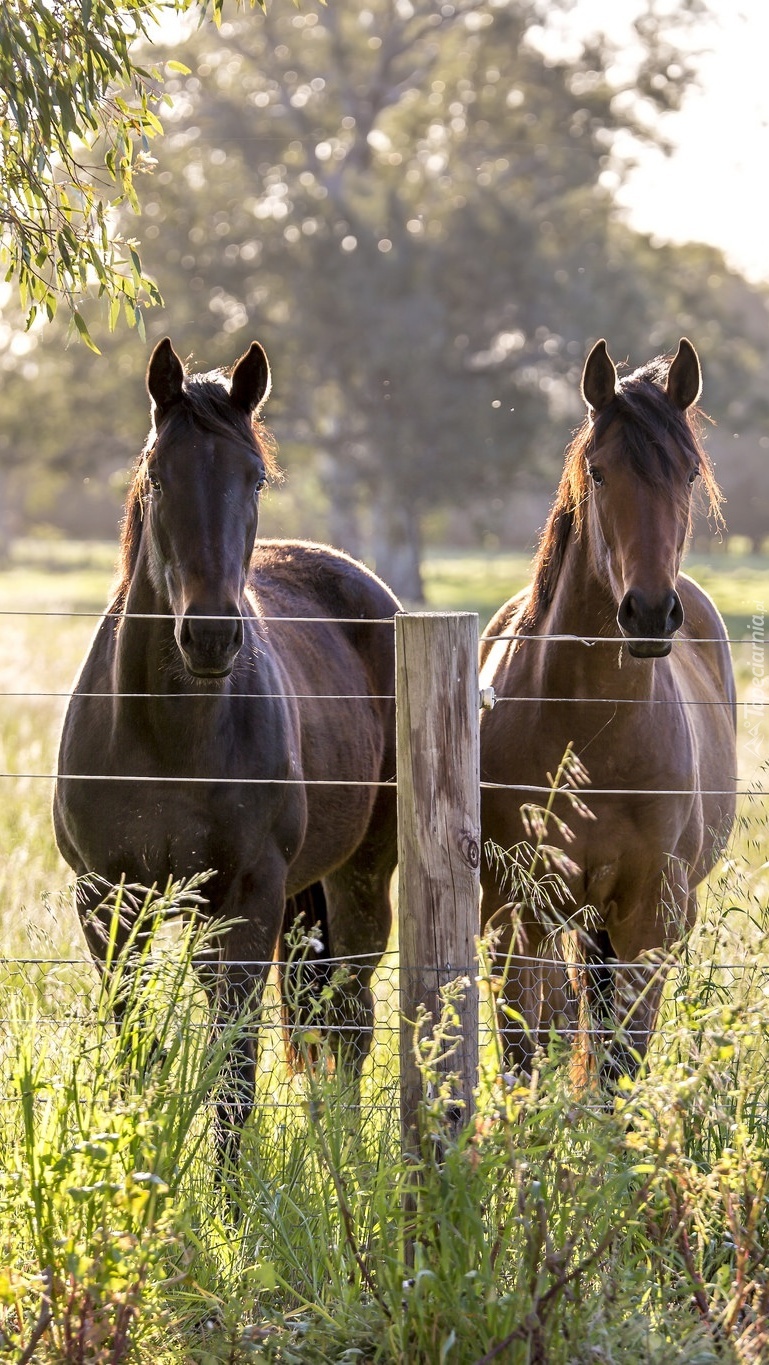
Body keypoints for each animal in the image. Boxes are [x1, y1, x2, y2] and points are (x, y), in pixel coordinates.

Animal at [53, 335, 401, 1157]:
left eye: (256, 476)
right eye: (158, 475)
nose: (211, 635)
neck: (166, 737)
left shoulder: (244, 902)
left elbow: (234, 1074)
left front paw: (233, 1188)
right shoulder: (108, 904)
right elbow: (136, 1047)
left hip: (361, 877)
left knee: (349, 1020)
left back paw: (343, 1156)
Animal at [480, 338, 737, 1075]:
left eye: (688, 473)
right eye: (598, 472)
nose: (648, 613)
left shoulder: (647, 918)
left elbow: (619, 1063)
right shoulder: (518, 913)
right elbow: (524, 1050)